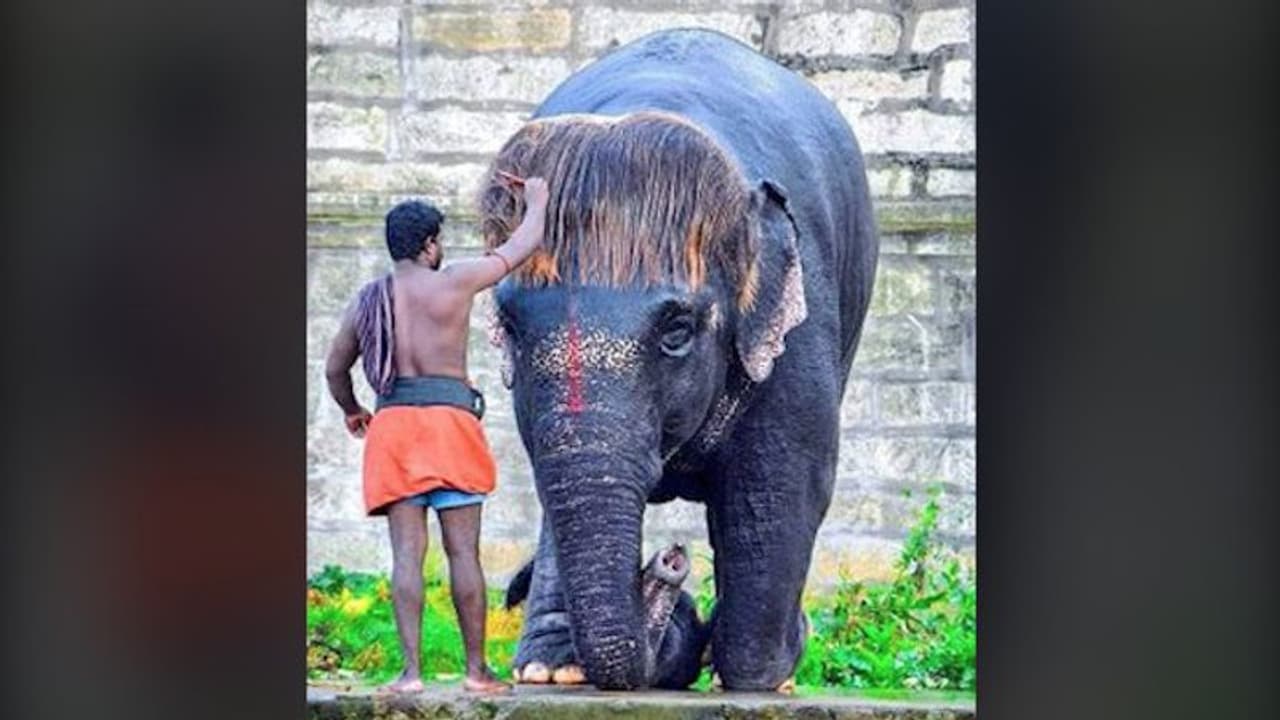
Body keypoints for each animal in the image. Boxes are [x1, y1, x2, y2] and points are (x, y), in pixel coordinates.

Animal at [478, 29, 878, 691]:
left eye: (677, 331)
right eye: (509, 327)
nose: (669, 559)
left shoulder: (802, 321)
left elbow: (781, 481)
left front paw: (755, 674)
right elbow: (550, 475)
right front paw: (550, 672)